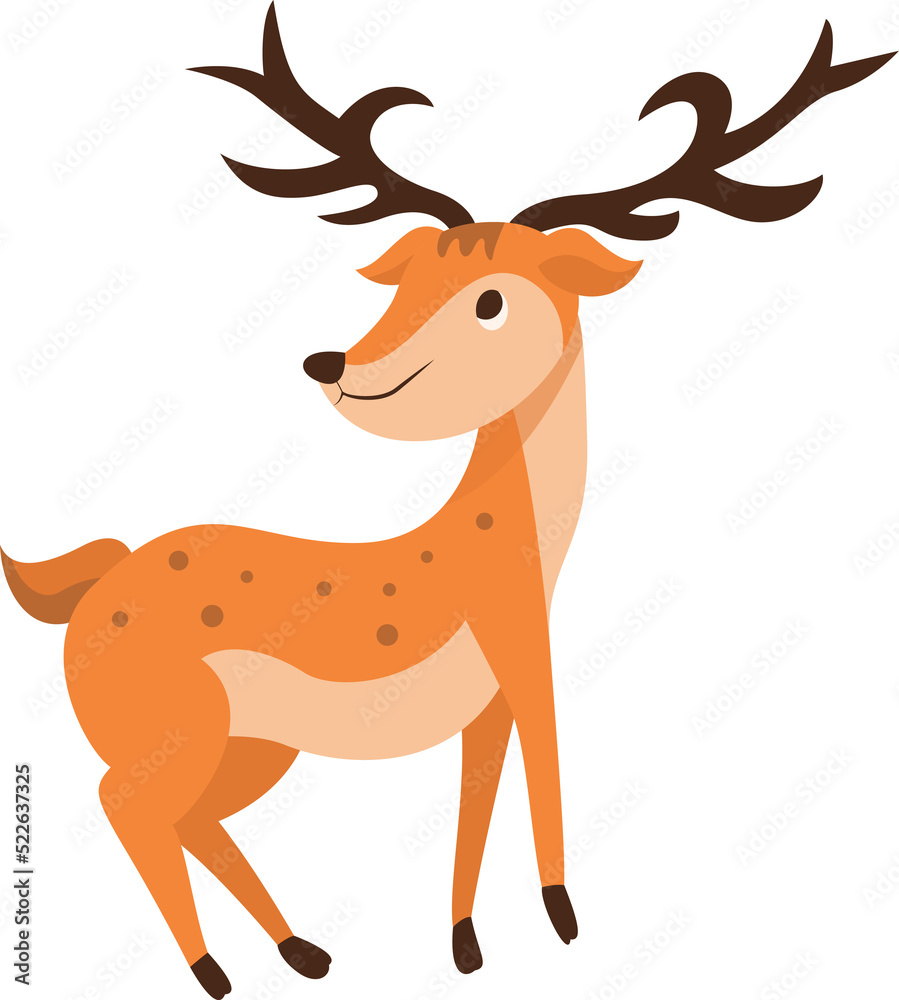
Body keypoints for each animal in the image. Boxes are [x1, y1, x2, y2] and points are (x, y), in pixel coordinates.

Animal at [2, 6, 893, 996]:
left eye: (490, 300)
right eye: (407, 277)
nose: (330, 362)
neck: (507, 549)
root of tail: (87, 587)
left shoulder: (490, 703)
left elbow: (480, 802)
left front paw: (469, 944)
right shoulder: (527, 668)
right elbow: (545, 774)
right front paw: (562, 918)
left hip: (247, 747)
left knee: (191, 819)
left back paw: (302, 951)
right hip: (174, 734)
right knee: (122, 803)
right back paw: (213, 970)